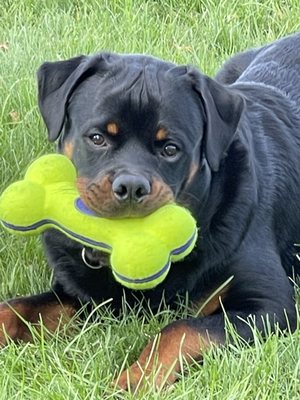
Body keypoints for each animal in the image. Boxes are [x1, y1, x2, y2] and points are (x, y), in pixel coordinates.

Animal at [0, 32, 300, 390]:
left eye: (170, 148)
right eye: (97, 138)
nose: (131, 185)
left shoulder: (268, 305)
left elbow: (180, 329)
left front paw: (134, 380)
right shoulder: (79, 292)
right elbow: (16, 307)